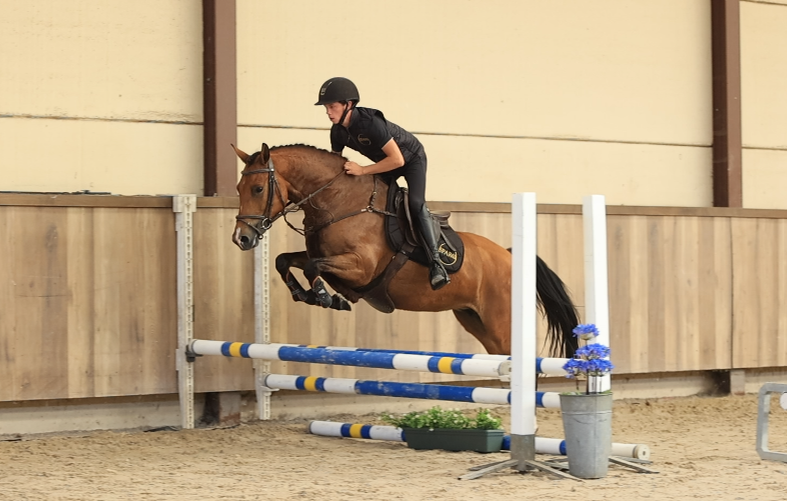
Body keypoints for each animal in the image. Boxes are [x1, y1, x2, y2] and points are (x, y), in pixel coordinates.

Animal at [231, 143, 579, 357]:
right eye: (238, 188)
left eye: (258, 189)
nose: (241, 239)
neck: (339, 202)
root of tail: (510, 255)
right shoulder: (327, 257)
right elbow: (285, 261)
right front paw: (305, 294)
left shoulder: (360, 267)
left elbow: (314, 267)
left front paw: (326, 297)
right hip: (475, 320)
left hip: (499, 320)